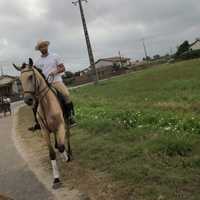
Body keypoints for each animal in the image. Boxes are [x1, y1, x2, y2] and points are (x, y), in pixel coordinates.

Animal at [12, 58, 72, 189]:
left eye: (31, 76)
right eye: (20, 79)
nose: (28, 100)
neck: (46, 104)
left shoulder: (60, 126)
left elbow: (61, 147)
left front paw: (66, 157)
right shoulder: (45, 131)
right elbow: (52, 153)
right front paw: (56, 179)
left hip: (65, 124)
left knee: (67, 137)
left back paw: (69, 153)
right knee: (57, 143)